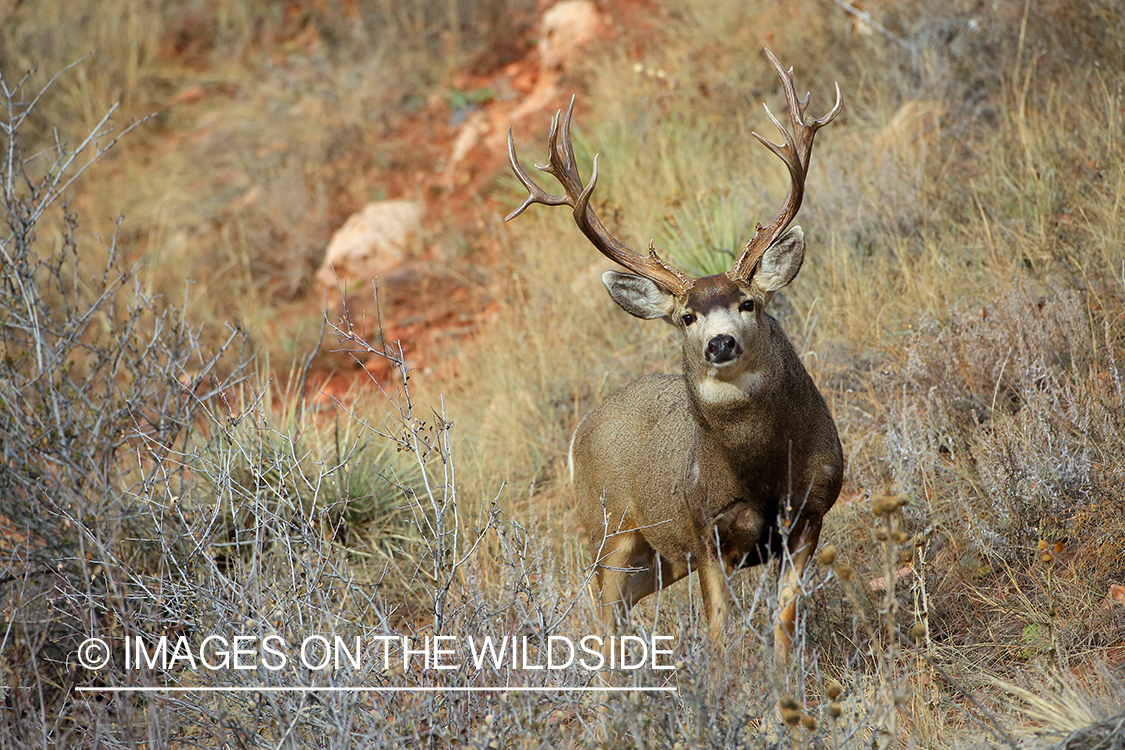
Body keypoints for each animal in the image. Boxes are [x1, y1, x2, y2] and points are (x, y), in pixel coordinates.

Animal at [506, 51, 841, 661]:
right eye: (686, 316)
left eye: (748, 301)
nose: (720, 342)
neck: (764, 470)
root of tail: (578, 432)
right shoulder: (704, 528)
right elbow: (719, 631)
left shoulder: (810, 513)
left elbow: (784, 619)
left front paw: (787, 678)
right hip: (608, 530)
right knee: (602, 617)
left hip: (657, 557)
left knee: (620, 610)